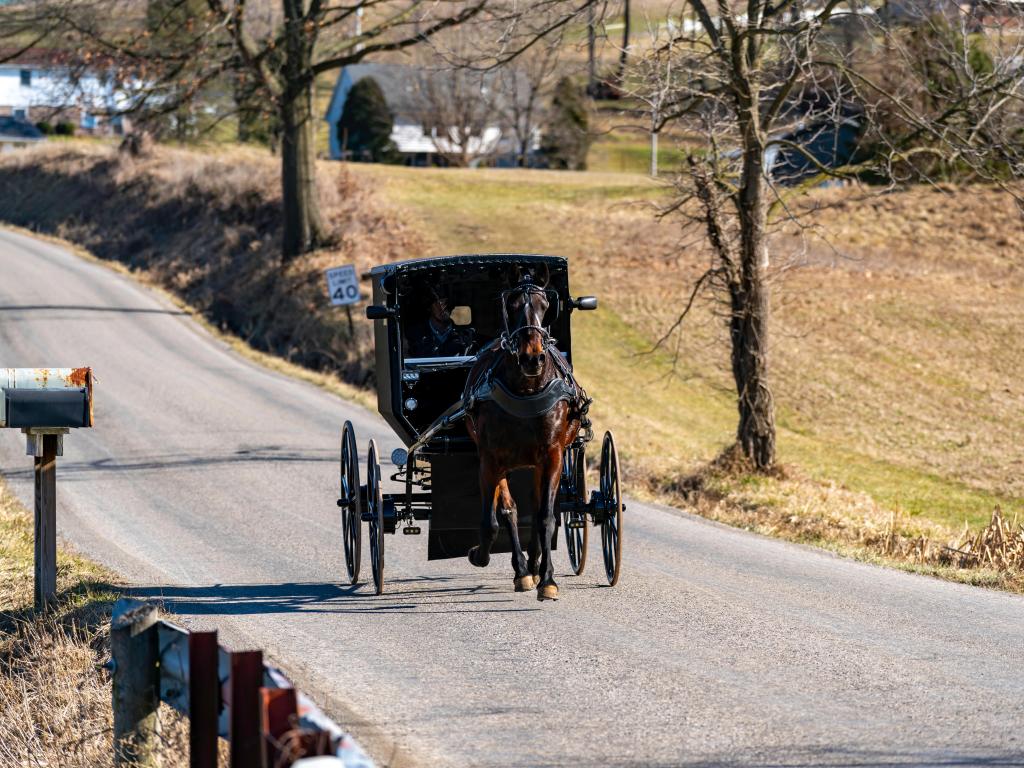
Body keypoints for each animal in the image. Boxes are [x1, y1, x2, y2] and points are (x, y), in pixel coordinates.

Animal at [462, 268, 585, 602]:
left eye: (545, 305)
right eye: (512, 304)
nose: (532, 358)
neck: (527, 390)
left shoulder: (553, 455)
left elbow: (546, 517)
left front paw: (549, 580)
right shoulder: (490, 458)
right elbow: (495, 518)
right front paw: (481, 555)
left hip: (539, 462)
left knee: (538, 505)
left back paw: (535, 566)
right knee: (512, 510)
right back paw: (523, 570)